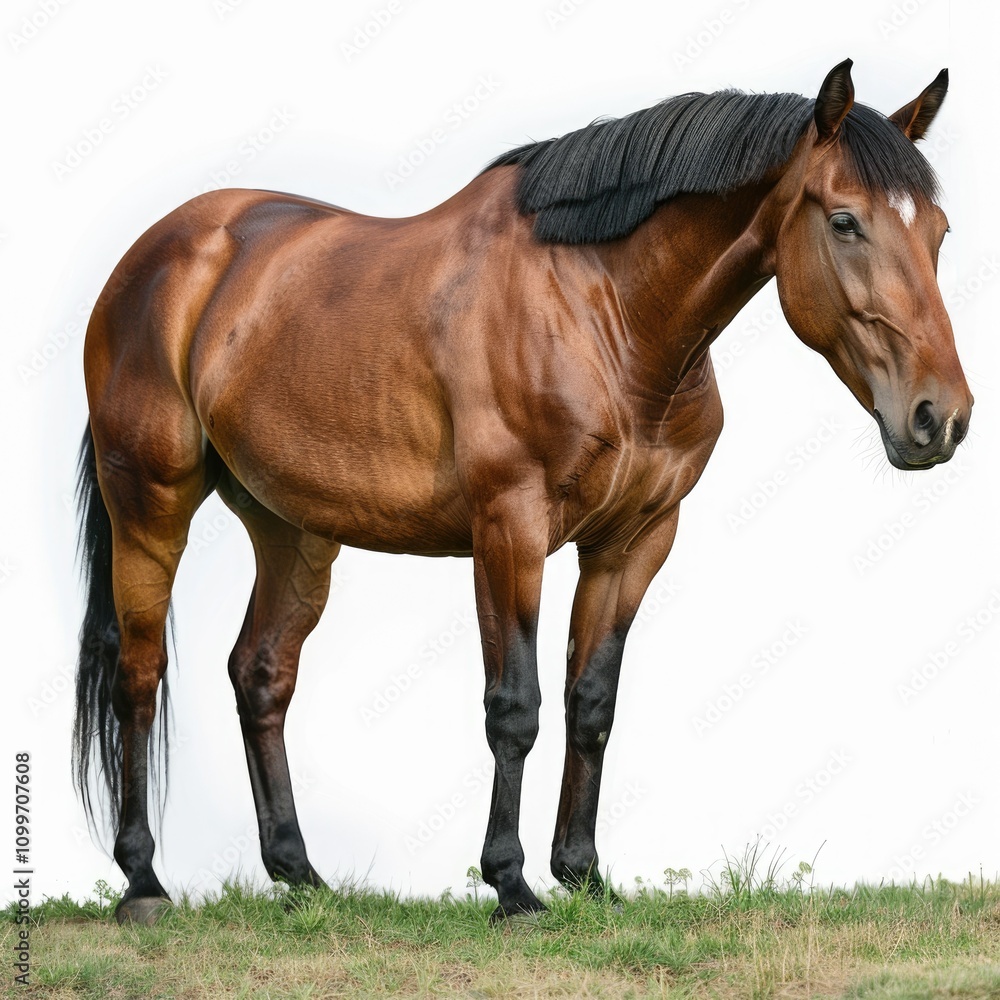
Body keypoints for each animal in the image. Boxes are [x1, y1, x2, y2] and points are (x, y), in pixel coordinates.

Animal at [74, 59, 971, 924]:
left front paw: (584, 873)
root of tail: (159, 256)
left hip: (292, 530)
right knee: (139, 676)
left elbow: (591, 702)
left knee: (261, 674)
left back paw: (300, 877)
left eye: (938, 230)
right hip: (150, 507)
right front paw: (511, 885)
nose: (941, 417)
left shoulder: (635, 541)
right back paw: (143, 882)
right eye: (845, 221)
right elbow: (515, 706)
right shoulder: (510, 530)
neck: (604, 311)